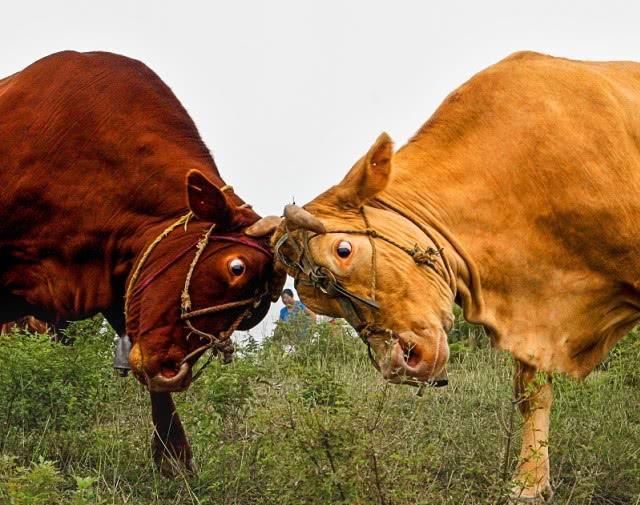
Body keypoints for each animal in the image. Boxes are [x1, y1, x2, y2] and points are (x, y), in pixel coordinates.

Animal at [260, 49, 640, 498]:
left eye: (343, 250)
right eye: (319, 302)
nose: (400, 363)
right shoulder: (534, 310)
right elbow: (532, 394)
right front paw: (528, 485)